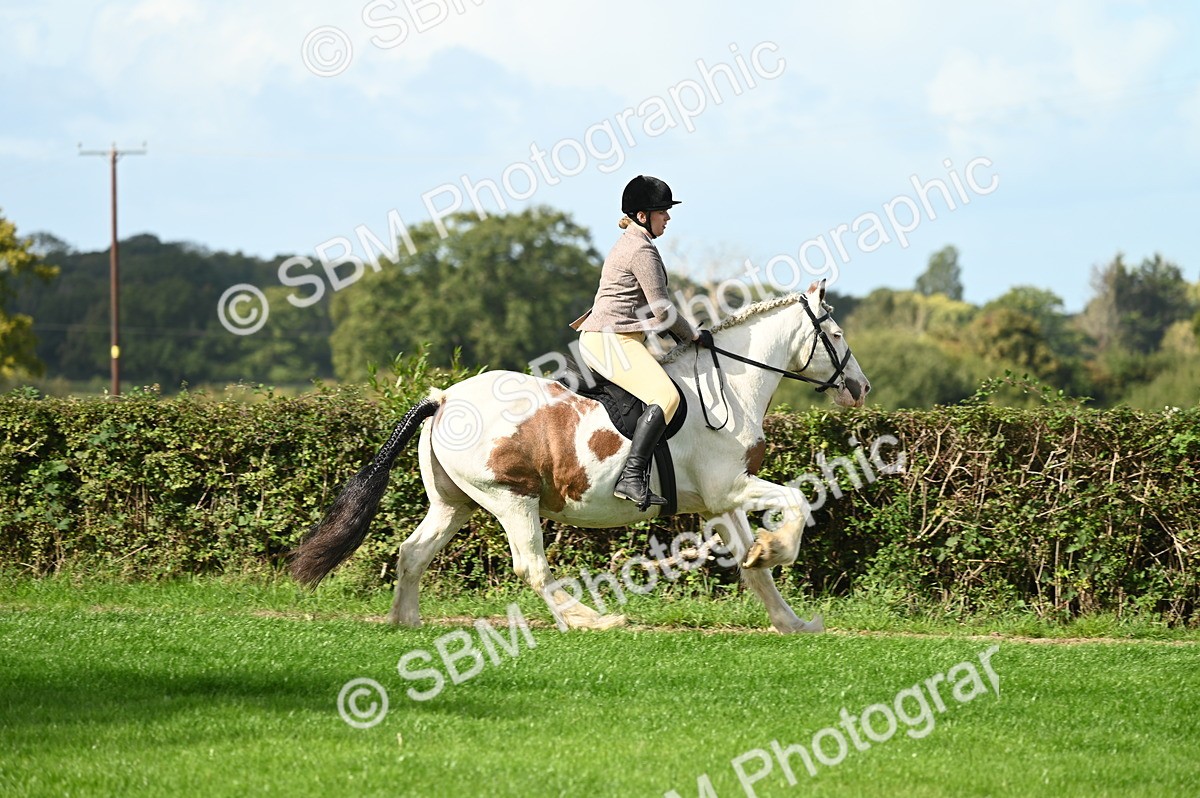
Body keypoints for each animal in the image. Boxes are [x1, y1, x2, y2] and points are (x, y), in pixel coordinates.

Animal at [290, 279, 870, 634]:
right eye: (837, 333)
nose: (860, 388)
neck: (729, 383)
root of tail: (445, 396)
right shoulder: (731, 487)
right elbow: (796, 499)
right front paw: (779, 549)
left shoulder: (719, 500)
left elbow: (754, 570)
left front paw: (790, 615)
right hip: (512, 498)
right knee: (532, 567)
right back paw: (592, 620)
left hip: (455, 503)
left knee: (413, 552)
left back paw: (405, 621)